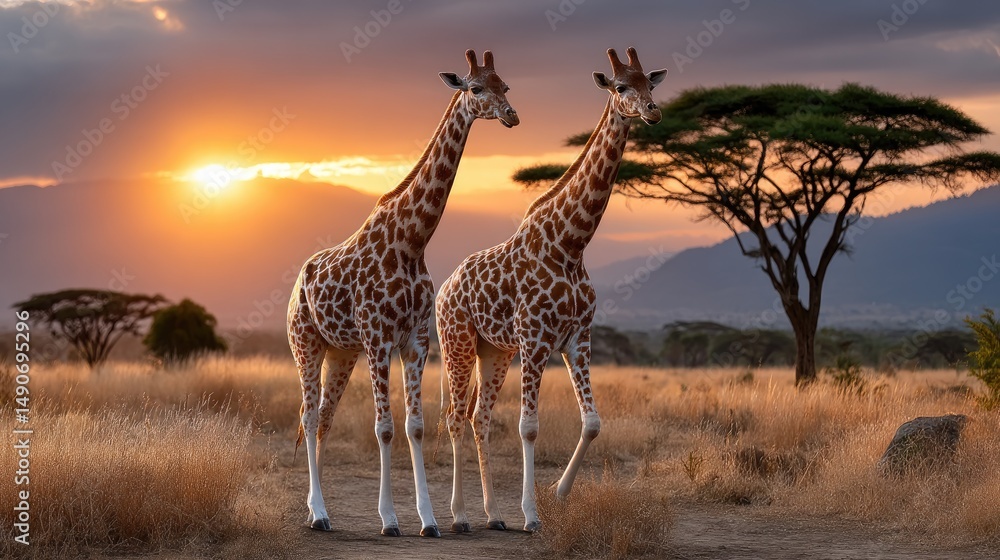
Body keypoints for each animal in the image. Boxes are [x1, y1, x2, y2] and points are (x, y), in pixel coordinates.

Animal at [287, 49, 518, 537]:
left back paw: (319, 510)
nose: (512, 116)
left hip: (341, 351)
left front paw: (429, 520)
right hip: (306, 343)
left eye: (505, 85)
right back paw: (318, 512)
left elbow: (414, 426)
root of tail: (300, 279)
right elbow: (385, 427)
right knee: (309, 414)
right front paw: (390, 519)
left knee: (324, 419)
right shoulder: (379, 339)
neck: (412, 240)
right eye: (475, 88)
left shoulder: (415, 341)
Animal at [436, 47, 666, 533]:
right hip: (457, 341)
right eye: (621, 86)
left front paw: (558, 495)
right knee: (454, 416)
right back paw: (460, 515)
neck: (571, 244)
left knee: (479, 416)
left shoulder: (577, 338)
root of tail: (444, 287)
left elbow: (593, 422)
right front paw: (531, 514)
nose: (652, 111)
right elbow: (529, 426)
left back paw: (492, 515)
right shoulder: (536, 340)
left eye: (651, 84)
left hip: (495, 351)